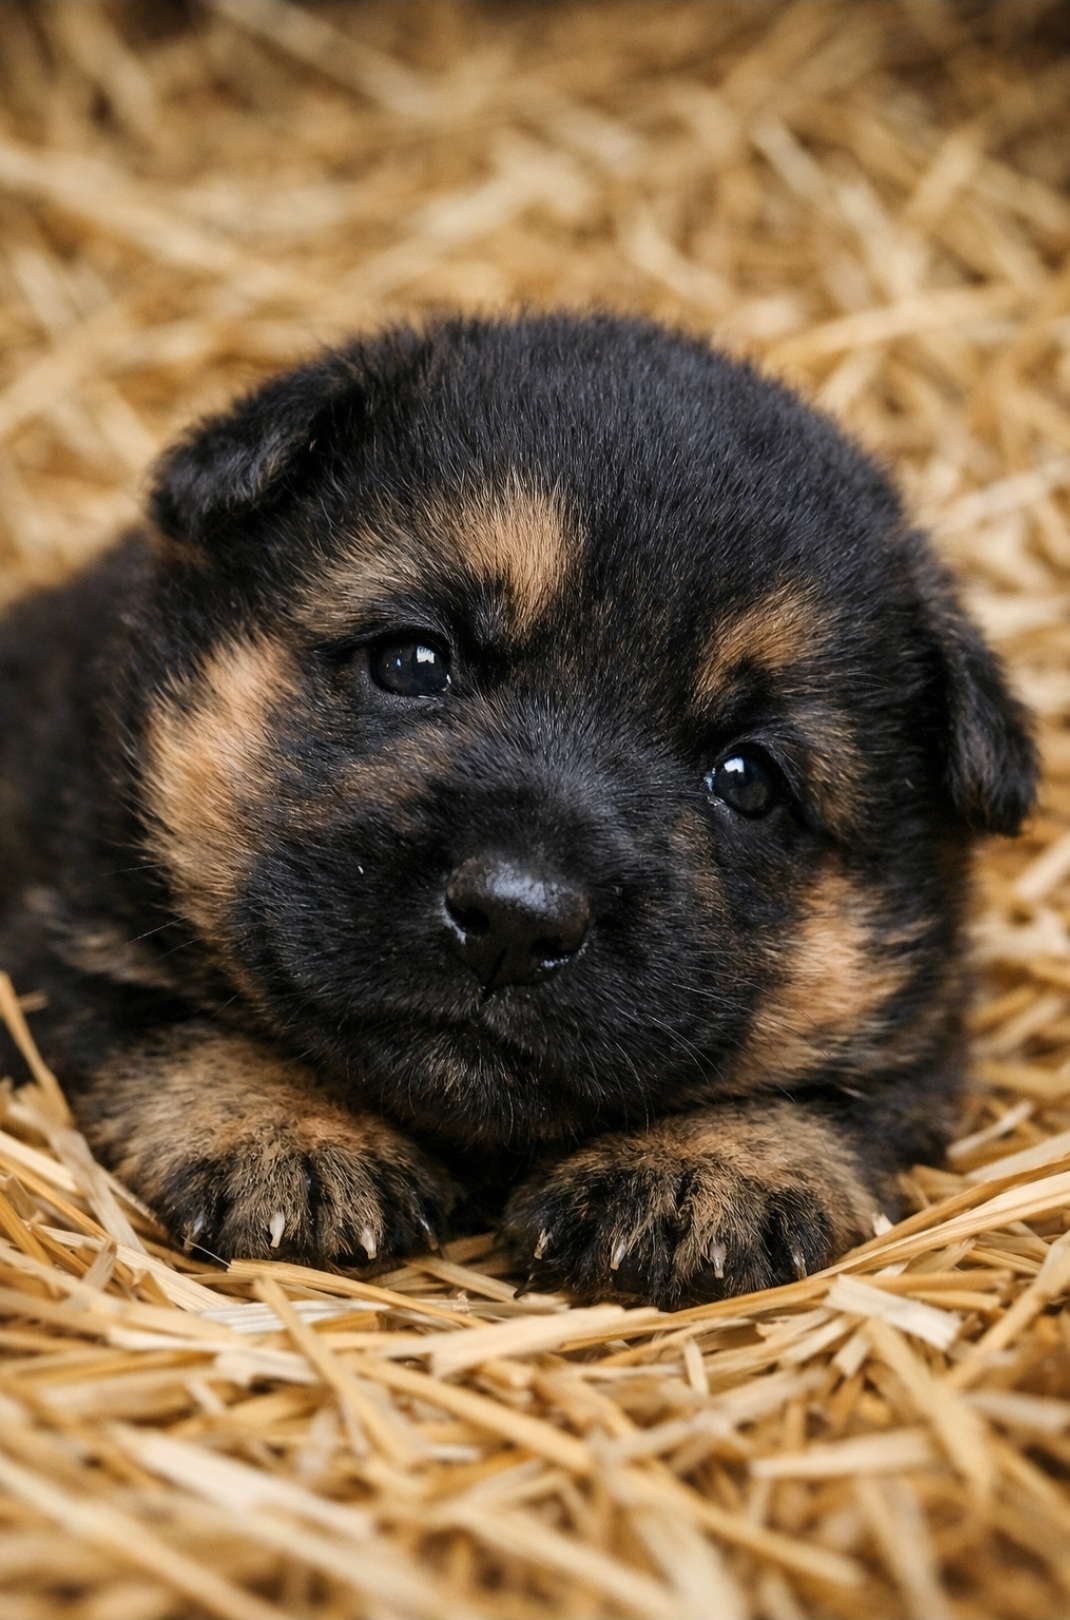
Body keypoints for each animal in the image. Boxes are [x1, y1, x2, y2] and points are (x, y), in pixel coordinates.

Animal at [0, 314, 1036, 1307]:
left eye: (748, 780)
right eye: (413, 661)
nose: (514, 921)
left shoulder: (919, 1040)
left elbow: (840, 1092)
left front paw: (703, 1171)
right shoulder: (66, 908)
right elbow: (164, 1016)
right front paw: (291, 1132)